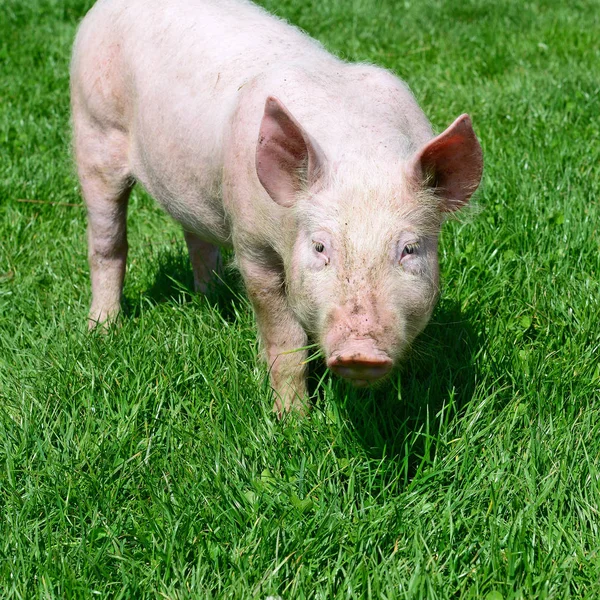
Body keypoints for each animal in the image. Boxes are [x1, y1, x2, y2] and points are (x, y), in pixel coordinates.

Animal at [70, 0, 482, 414]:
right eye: (320, 247)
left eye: (409, 249)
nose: (360, 352)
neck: (361, 156)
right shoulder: (252, 245)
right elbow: (284, 342)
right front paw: (293, 419)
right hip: (94, 131)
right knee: (107, 242)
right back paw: (101, 331)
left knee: (195, 233)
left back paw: (212, 297)